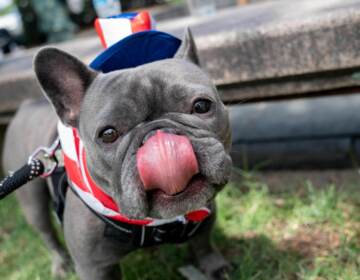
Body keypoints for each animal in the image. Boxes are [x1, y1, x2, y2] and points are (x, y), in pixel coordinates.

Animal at [2, 29, 232, 278]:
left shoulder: (204, 215)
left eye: (201, 106)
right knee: (46, 232)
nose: (158, 133)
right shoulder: (93, 267)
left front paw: (215, 267)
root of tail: (25, 106)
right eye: (108, 134)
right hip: (32, 201)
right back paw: (61, 264)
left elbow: (203, 243)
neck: (155, 223)